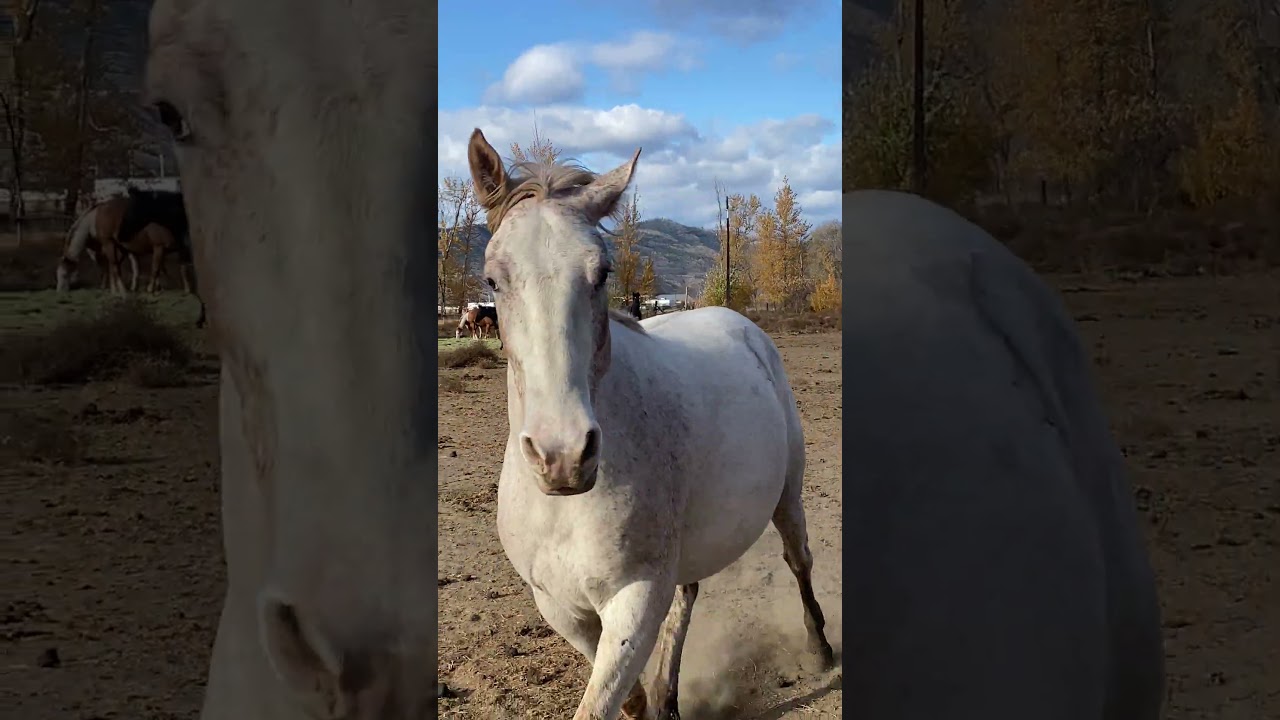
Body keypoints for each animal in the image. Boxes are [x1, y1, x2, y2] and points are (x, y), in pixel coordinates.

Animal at [468, 128, 833, 720]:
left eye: (602, 272)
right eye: (492, 279)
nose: (562, 456)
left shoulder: (635, 597)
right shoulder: (559, 607)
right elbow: (629, 698)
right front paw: (652, 700)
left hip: (788, 496)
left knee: (797, 559)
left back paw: (820, 649)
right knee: (688, 598)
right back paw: (670, 694)